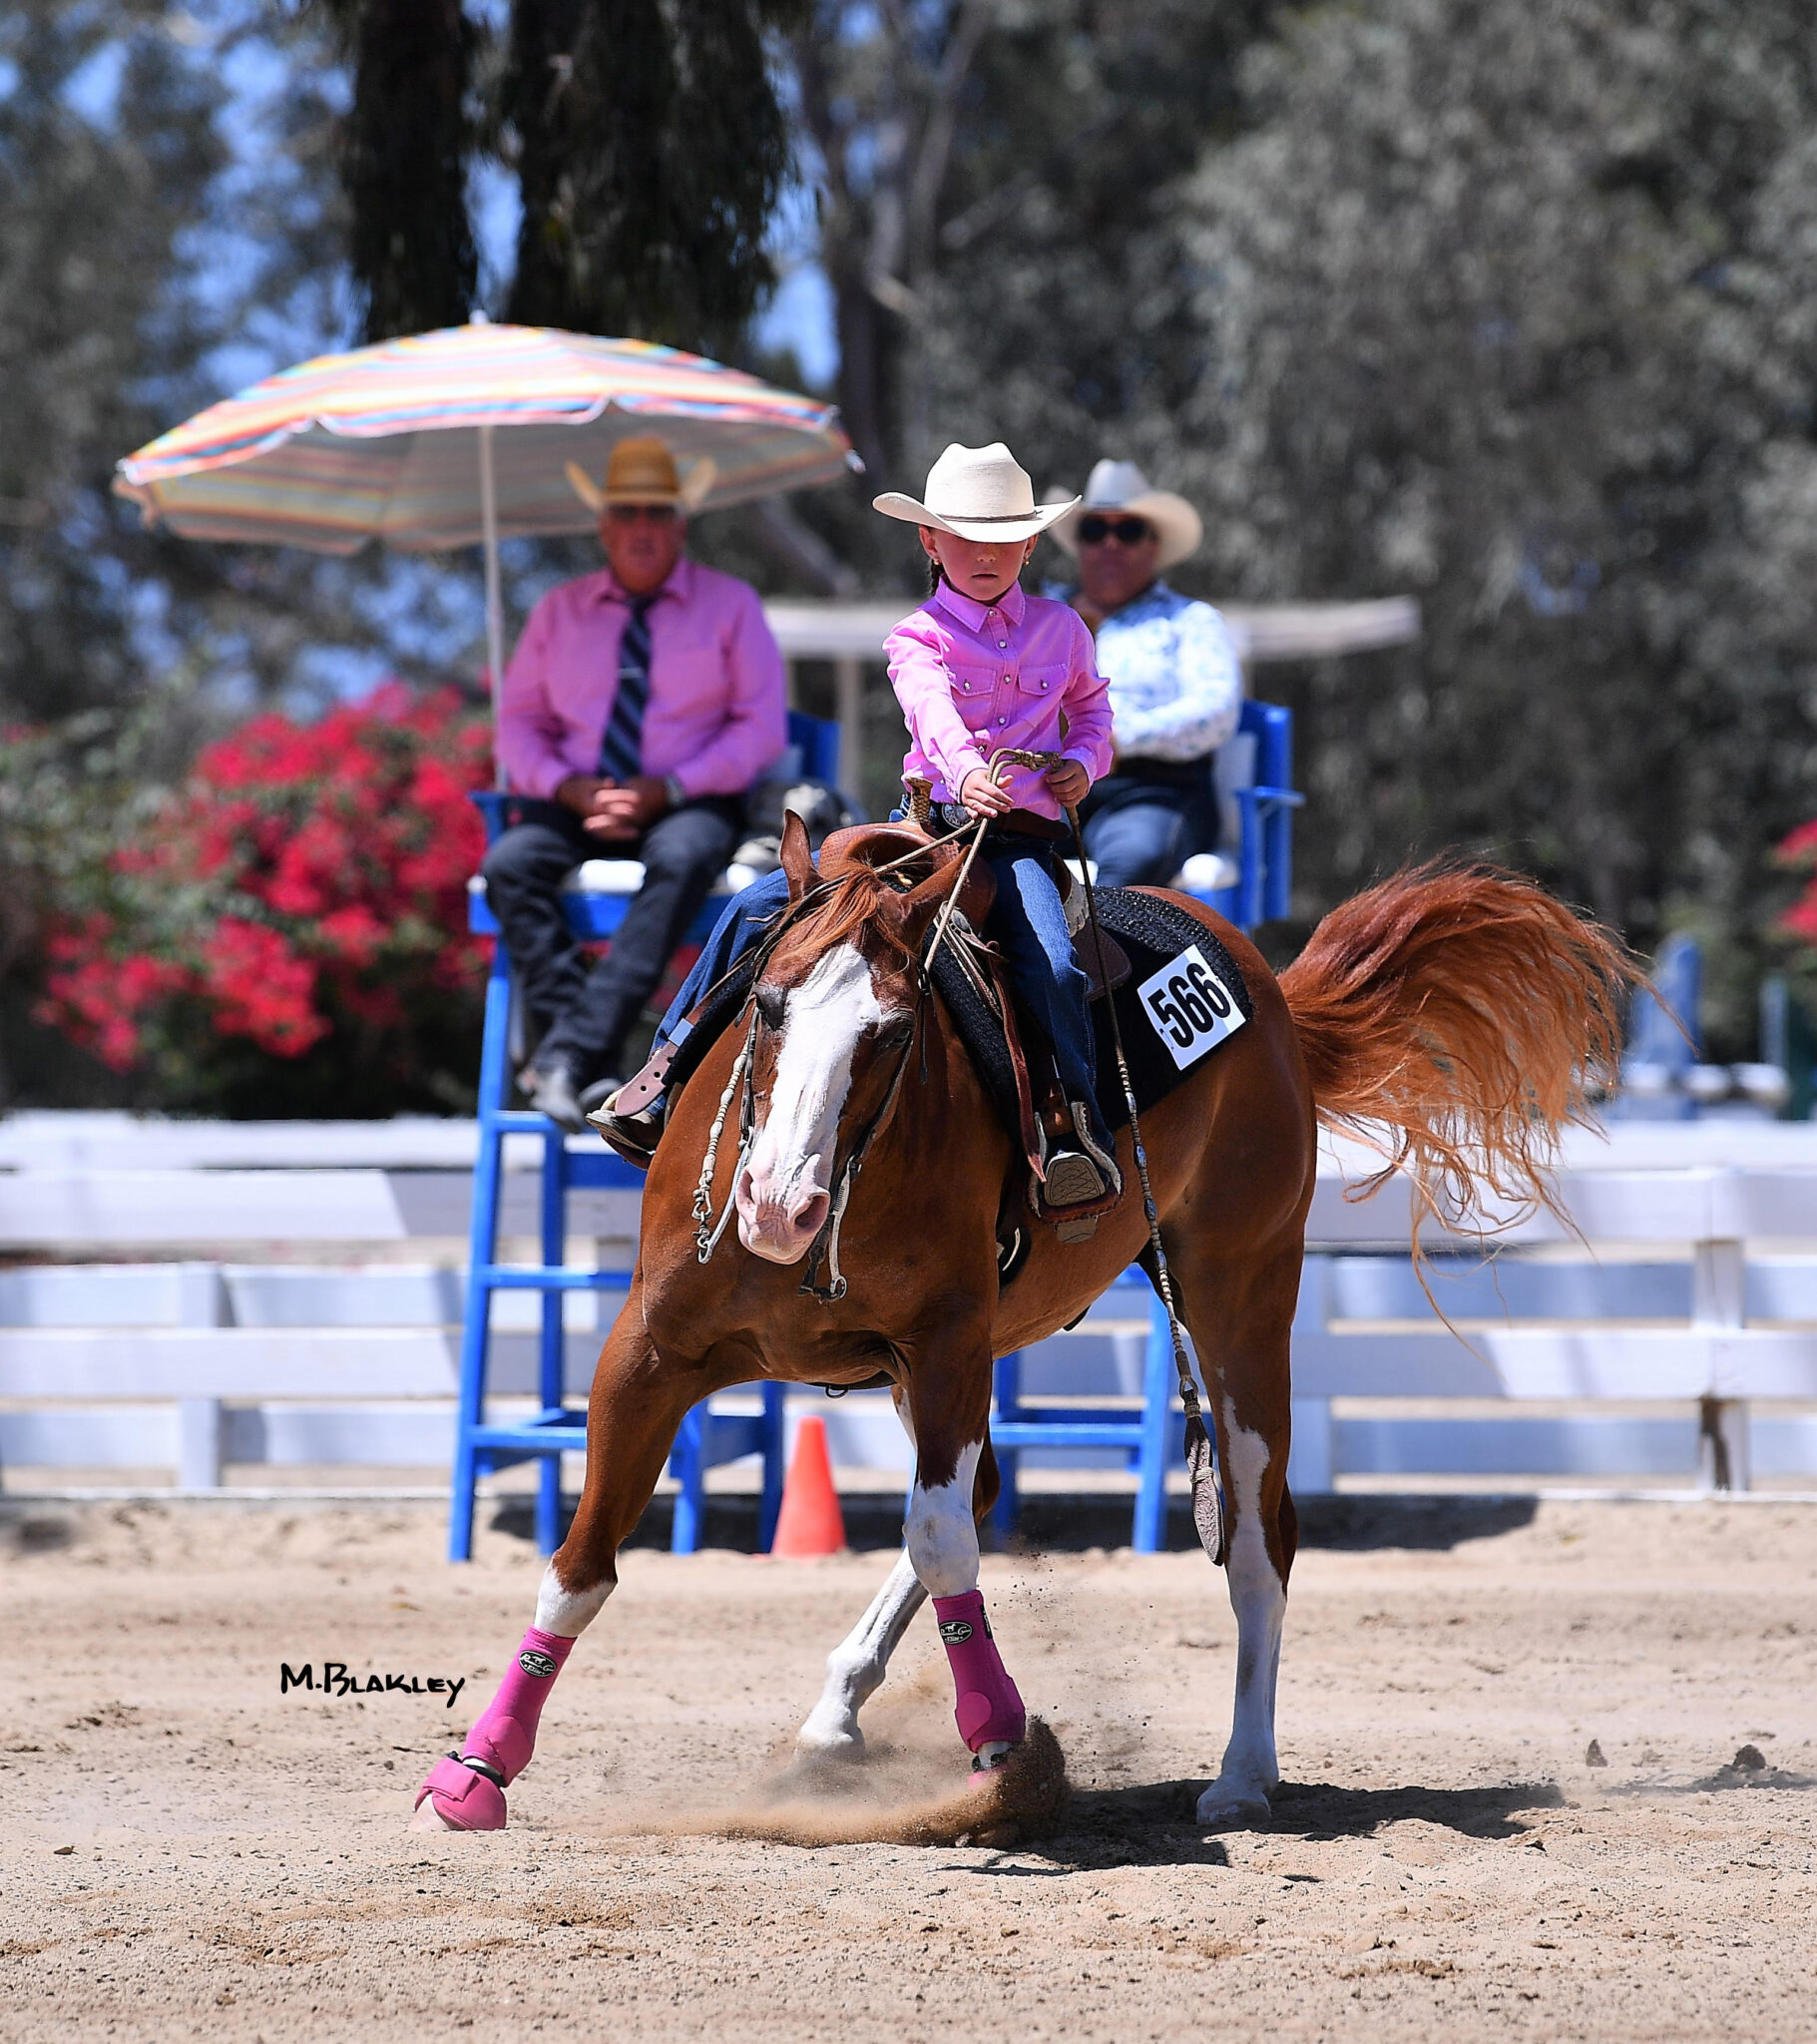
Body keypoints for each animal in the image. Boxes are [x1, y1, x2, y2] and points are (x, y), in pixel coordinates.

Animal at [414, 813, 1626, 1839]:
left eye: (892, 1029)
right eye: (765, 1004)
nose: (776, 1208)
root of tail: (1270, 989)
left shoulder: (949, 1346)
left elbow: (941, 1537)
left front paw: (1000, 1741)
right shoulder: (648, 1354)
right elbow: (582, 1563)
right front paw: (477, 1771)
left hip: (1238, 1295)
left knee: (1253, 1537)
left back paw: (1242, 1774)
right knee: (984, 1495)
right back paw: (832, 1717)